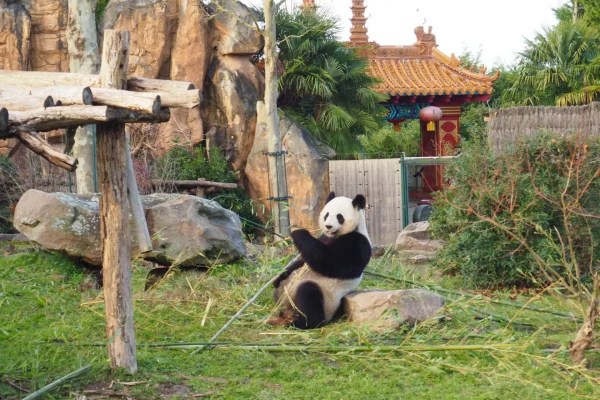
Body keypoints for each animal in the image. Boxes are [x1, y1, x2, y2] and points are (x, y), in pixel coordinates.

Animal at [268, 192, 370, 330]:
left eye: (339, 217)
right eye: (326, 214)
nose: (328, 226)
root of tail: (289, 312)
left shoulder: (358, 244)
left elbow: (330, 262)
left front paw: (299, 232)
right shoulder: (324, 237)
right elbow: (302, 260)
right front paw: (278, 277)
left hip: (326, 299)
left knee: (309, 295)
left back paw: (300, 323)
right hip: (286, 293)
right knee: (281, 290)